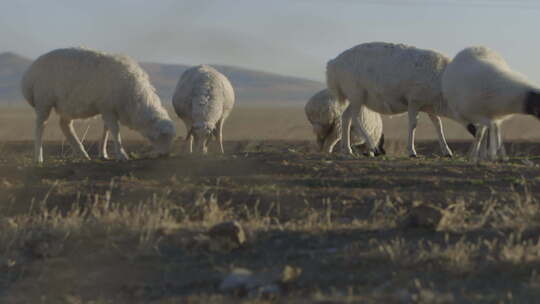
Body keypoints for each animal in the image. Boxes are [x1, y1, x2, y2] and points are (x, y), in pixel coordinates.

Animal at [21, 47, 175, 164]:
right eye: (163, 136)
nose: (166, 155)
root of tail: (29, 74)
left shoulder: (107, 109)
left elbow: (106, 130)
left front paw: (103, 153)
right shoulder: (108, 107)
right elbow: (114, 130)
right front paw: (121, 155)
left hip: (67, 105)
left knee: (65, 125)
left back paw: (82, 153)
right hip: (43, 100)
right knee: (40, 126)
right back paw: (38, 158)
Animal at [324, 41, 456, 158]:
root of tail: (333, 64)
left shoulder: (429, 105)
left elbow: (438, 125)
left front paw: (447, 151)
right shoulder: (414, 101)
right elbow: (413, 124)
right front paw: (411, 151)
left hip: (355, 97)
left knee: (346, 117)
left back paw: (347, 150)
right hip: (356, 94)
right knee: (355, 118)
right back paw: (372, 147)